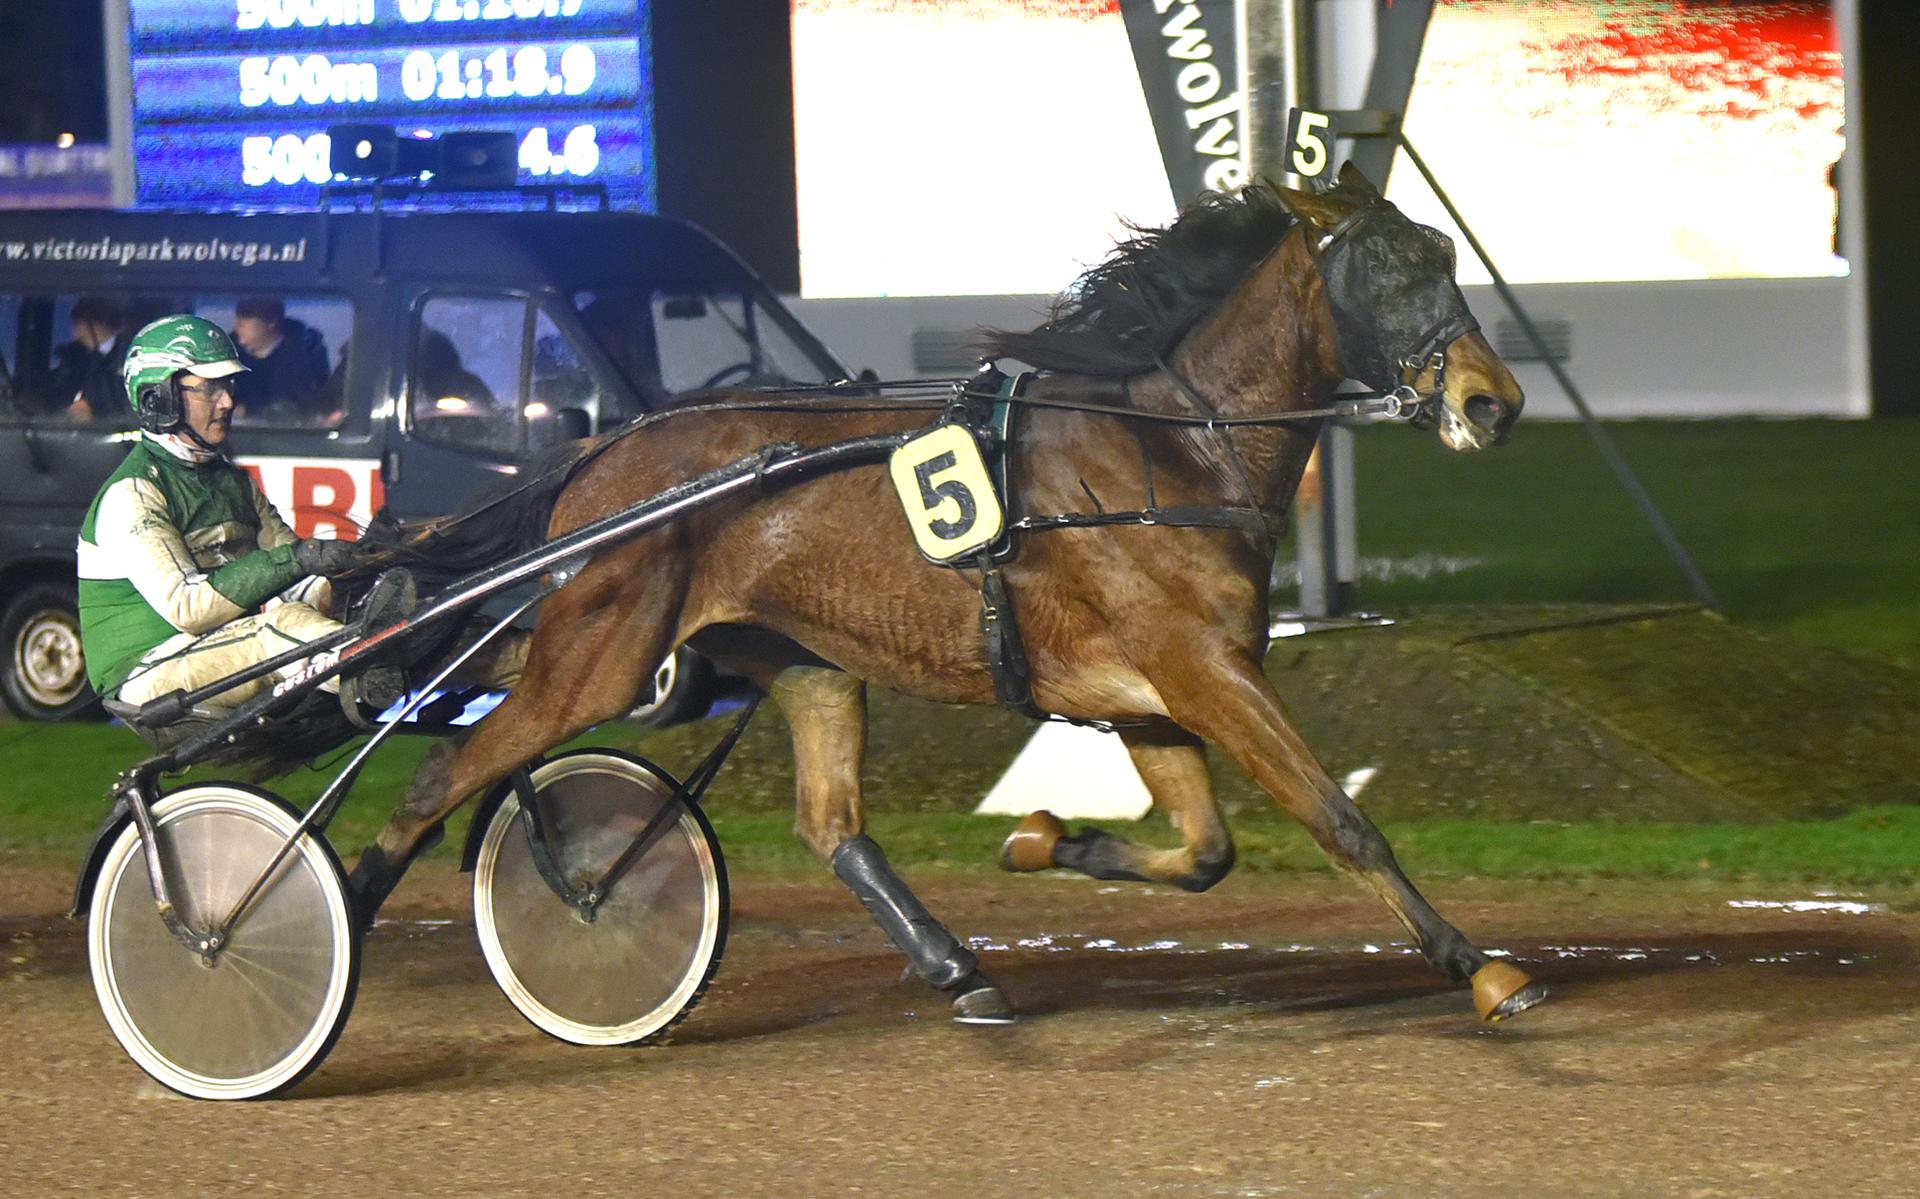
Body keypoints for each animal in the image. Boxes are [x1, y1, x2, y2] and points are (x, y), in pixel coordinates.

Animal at [345, 164, 1543, 1029]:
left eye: (1444, 255)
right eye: (1386, 274)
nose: (1496, 402)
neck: (1166, 453)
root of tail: (604, 452)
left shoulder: (1153, 695)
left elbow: (1206, 854)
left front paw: (1045, 840)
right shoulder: (1206, 671)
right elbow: (1340, 818)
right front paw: (1479, 966)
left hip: (790, 661)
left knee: (832, 826)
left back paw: (962, 969)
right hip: (601, 651)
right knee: (448, 765)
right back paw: (336, 913)